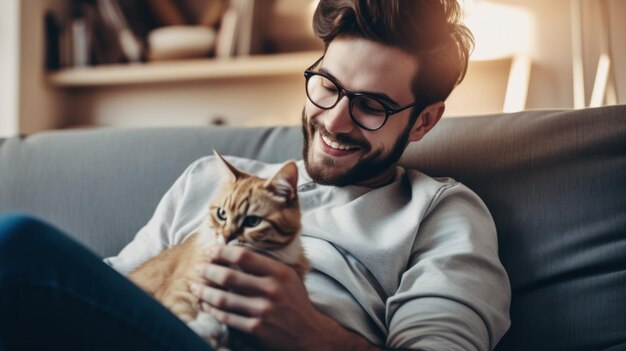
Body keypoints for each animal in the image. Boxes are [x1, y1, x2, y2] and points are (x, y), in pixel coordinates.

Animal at [129, 153, 308, 350]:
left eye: (253, 221)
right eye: (222, 214)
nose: (226, 237)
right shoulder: (183, 290)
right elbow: (184, 318)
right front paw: (206, 327)